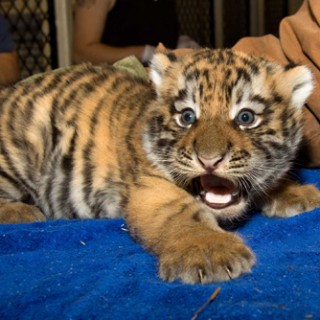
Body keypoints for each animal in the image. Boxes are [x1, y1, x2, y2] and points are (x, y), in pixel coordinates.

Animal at [0, 47, 320, 282]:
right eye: (187, 116)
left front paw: (297, 193)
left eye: (246, 117)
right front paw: (210, 252)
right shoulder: (152, 186)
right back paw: (23, 212)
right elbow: (181, 212)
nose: (209, 159)